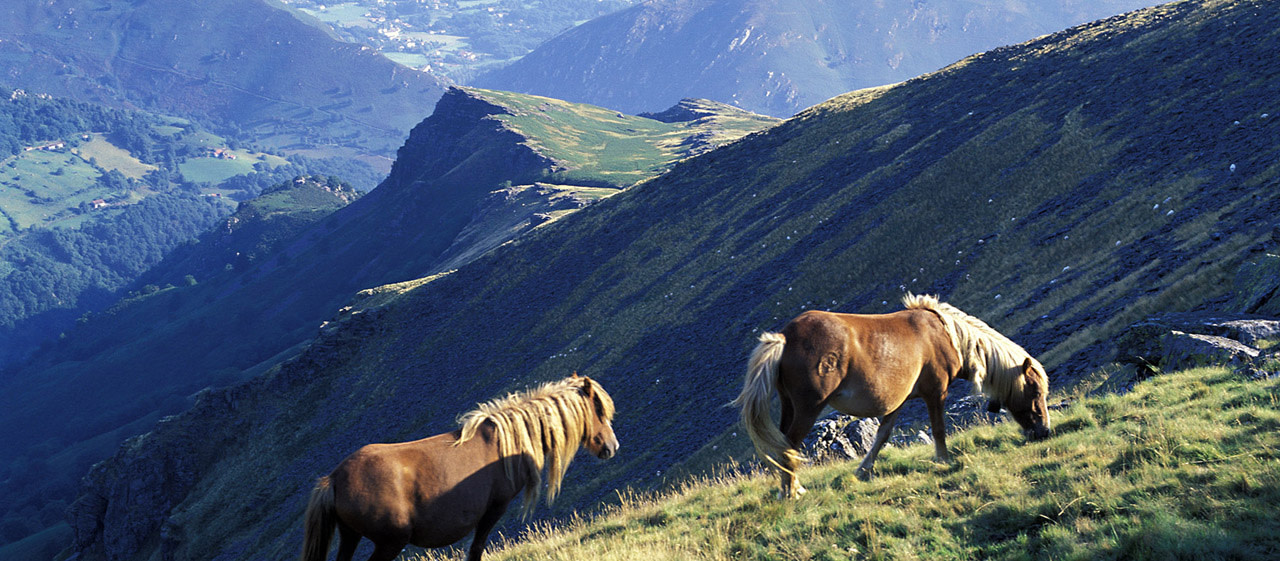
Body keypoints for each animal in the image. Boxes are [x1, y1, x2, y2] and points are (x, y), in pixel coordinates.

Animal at [299, 371, 619, 561]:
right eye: (598, 409)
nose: (612, 446)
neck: (506, 443)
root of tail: (334, 479)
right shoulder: (493, 510)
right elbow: (476, 548)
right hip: (389, 543)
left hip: (350, 536)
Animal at [732, 293, 1049, 499]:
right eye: (1035, 391)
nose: (1044, 431)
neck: (947, 335)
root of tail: (785, 337)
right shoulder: (936, 392)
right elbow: (938, 429)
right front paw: (944, 460)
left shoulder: (898, 402)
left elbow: (882, 436)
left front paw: (863, 470)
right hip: (809, 407)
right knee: (790, 444)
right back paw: (791, 492)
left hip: (790, 405)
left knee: (782, 444)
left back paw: (788, 488)